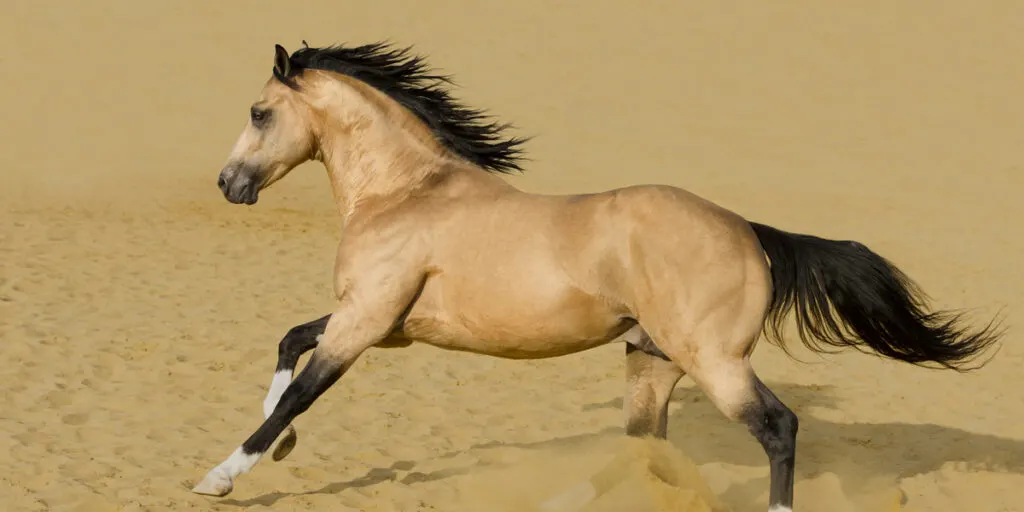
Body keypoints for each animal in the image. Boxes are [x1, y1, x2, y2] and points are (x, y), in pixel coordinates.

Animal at [192, 41, 999, 509]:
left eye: (259, 112)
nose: (229, 184)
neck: (407, 191)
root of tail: (751, 232)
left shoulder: (365, 322)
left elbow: (299, 390)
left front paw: (223, 475)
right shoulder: (386, 325)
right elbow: (289, 344)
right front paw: (279, 445)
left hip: (716, 362)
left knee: (778, 428)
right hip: (651, 362)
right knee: (647, 448)